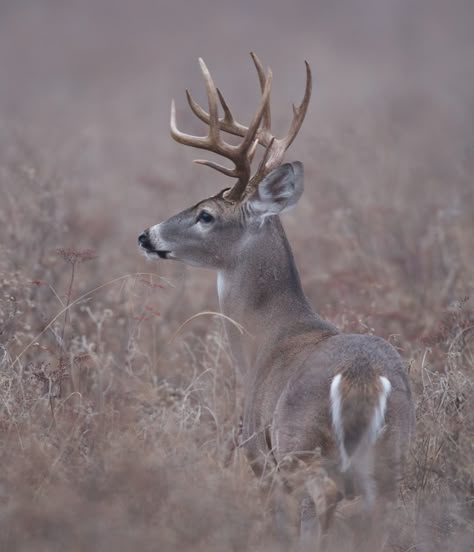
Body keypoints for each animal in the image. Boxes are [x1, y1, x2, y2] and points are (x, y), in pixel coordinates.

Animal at [138, 54, 414, 548]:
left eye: (206, 214)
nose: (146, 235)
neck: (264, 340)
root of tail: (361, 376)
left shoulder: (257, 453)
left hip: (298, 443)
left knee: (321, 498)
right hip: (392, 452)